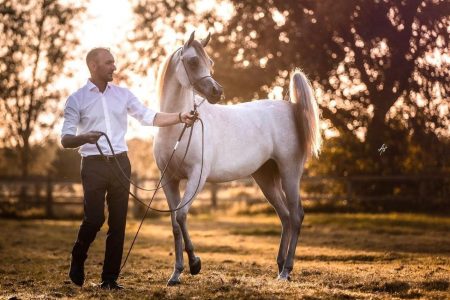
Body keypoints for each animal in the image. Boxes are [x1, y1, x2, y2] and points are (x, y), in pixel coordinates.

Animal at [153, 31, 322, 284]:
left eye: (210, 62)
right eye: (193, 61)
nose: (217, 92)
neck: (178, 127)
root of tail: (292, 107)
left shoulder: (197, 177)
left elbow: (182, 215)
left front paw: (195, 263)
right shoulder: (168, 181)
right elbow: (175, 224)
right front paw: (176, 273)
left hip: (290, 173)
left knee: (296, 215)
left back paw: (286, 270)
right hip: (265, 178)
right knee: (284, 216)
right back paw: (280, 266)